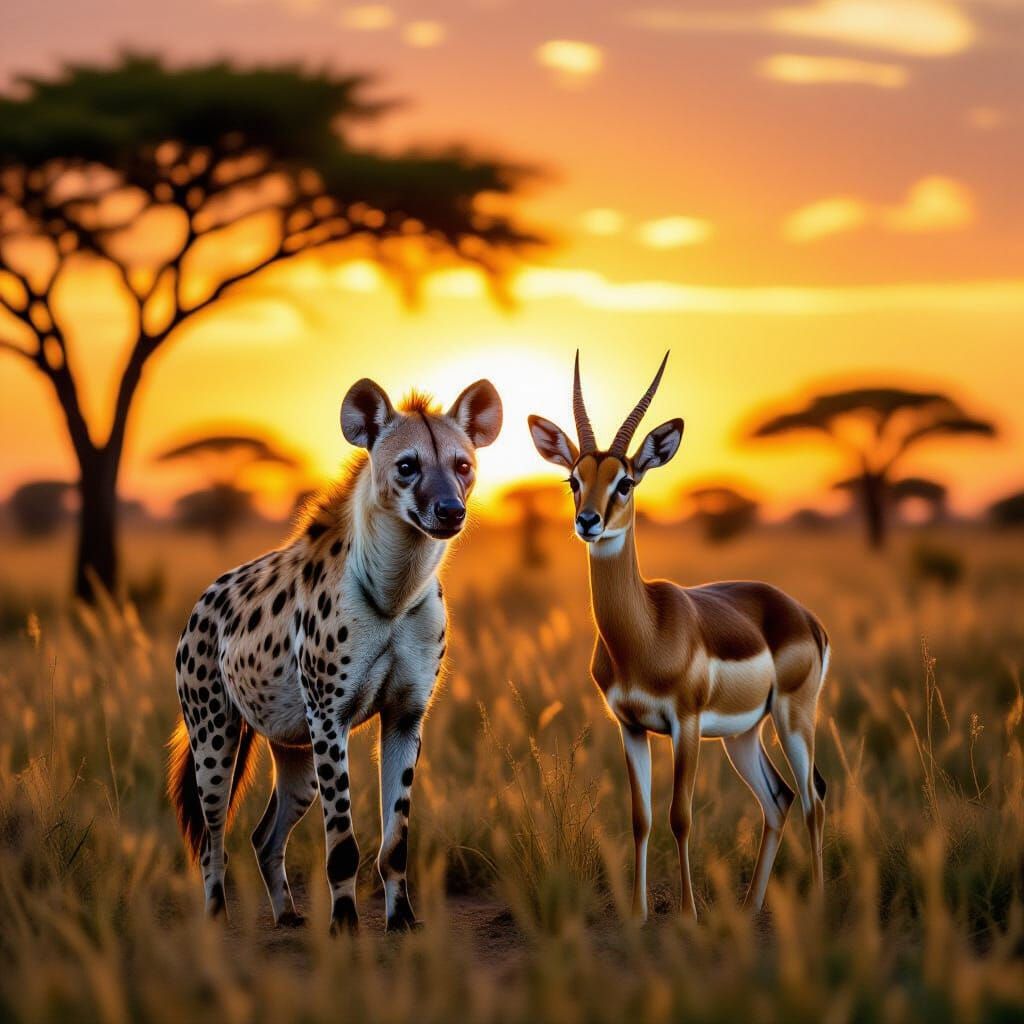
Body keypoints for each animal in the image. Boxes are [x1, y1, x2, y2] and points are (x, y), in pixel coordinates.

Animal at [167, 377, 502, 933]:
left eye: (461, 465)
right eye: (407, 466)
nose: (450, 510)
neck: (394, 591)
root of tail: (201, 602)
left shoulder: (405, 717)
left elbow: (396, 841)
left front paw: (402, 921)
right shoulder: (329, 719)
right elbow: (342, 843)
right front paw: (344, 925)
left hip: (295, 750)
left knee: (265, 835)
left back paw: (287, 915)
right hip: (215, 734)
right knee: (212, 836)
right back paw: (216, 918)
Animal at [528, 353, 829, 918]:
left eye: (625, 481)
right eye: (574, 480)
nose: (588, 521)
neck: (644, 633)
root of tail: (802, 615)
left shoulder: (684, 725)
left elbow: (680, 816)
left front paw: (688, 914)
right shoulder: (630, 726)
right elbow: (640, 818)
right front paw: (640, 913)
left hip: (793, 717)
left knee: (813, 798)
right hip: (742, 734)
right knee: (778, 799)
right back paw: (751, 908)